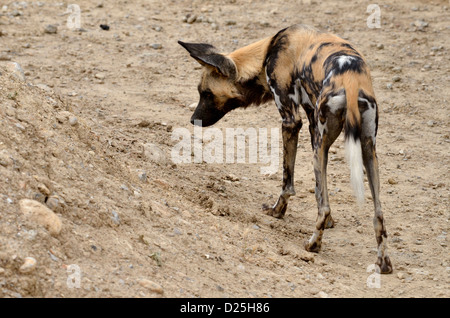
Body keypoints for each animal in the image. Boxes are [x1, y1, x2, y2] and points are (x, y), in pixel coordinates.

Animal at [179, 24, 394, 274]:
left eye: (205, 93)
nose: (193, 120)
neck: (268, 51)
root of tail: (350, 80)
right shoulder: (311, 123)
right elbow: (320, 190)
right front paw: (330, 222)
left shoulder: (291, 121)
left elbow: (287, 181)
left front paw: (277, 211)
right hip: (365, 149)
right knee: (378, 214)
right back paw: (383, 263)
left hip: (322, 145)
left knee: (324, 208)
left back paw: (313, 246)